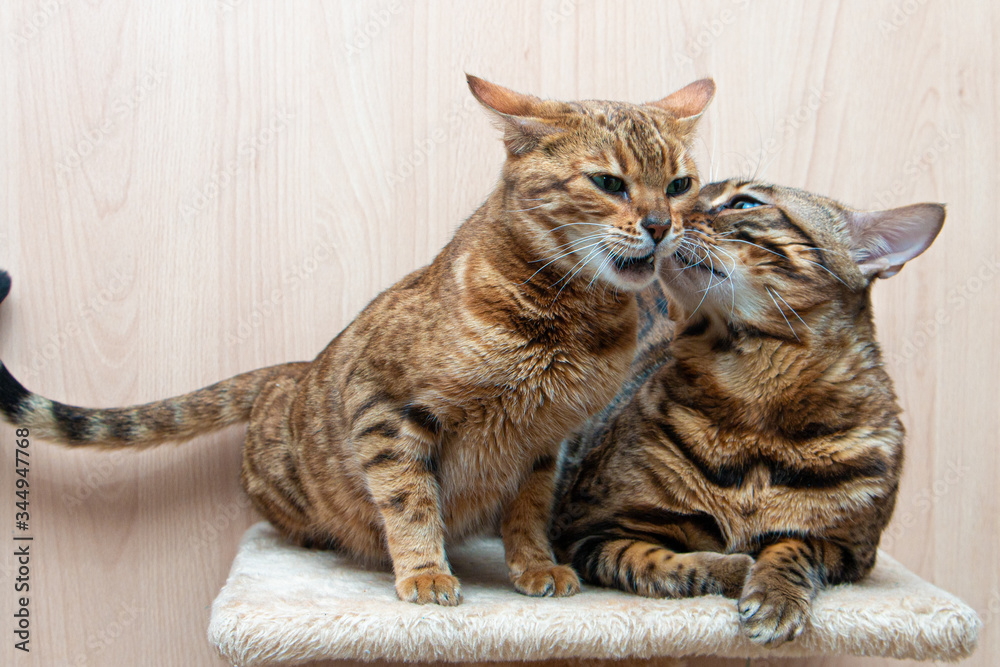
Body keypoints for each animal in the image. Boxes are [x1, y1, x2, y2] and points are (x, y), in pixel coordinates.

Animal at [0, 75, 716, 608]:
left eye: (680, 185)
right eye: (609, 183)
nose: (660, 225)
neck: (574, 322)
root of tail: (287, 370)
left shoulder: (547, 442)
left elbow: (528, 512)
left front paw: (536, 566)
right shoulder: (385, 408)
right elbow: (409, 501)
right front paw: (425, 573)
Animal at [556, 177, 944, 640]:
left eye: (743, 203)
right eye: (685, 189)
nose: (661, 216)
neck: (754, 403)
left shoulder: (848, 549)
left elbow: (794, 546)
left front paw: (775, 594)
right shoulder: (591, 528)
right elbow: (652, 562)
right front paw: (733, 570)